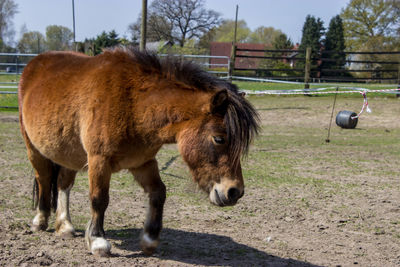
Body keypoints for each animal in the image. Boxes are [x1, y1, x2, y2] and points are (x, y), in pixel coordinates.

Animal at [19, 47, 260, 258]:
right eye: (219, 138)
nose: (234, 192)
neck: (133, 103)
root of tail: (34, 64)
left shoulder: (142, 162)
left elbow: (159, 193)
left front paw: (149, 240)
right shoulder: (99, 160)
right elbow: (99, 199)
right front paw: (97, 241)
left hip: (69, 154)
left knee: (63, 184)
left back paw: (65, 226)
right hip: (34, 150)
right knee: (44, 179)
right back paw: (40, 220)